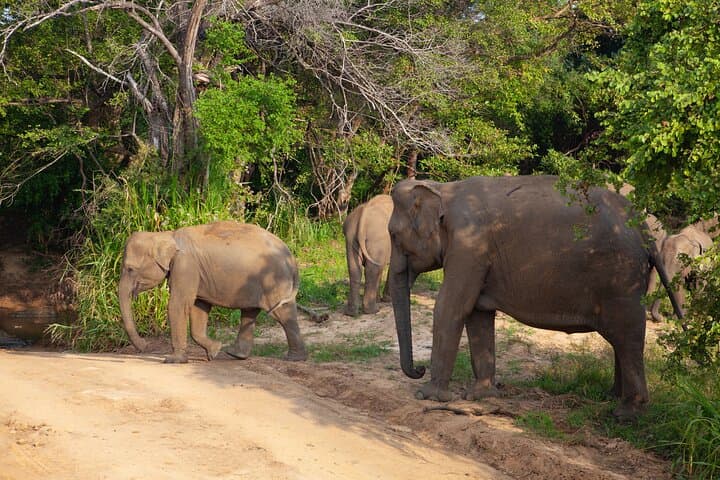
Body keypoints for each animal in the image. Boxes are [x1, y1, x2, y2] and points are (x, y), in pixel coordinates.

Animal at [118, 221, 307, 364]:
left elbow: (178, 305)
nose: (145, 346)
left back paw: (294, 359)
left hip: (274, 281)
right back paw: (235, 354)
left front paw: (173, 360)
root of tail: (291, 256)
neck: (166, 235)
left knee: (282, 314)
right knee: (249, 313)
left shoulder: (186, 266)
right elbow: (199, 308)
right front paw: (214, 351)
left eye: (130, 269)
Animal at [388, 175, 682, 419]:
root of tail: (642, 227)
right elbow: (478, 314)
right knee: (621, 339)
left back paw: (626, 413)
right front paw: (481, 396)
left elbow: (451, 307)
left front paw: (427, 396)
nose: (419, 369)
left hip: (622, 279)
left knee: (627, 336)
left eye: (392, 234)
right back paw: (611, 397)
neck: (444, 189)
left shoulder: (470, 247)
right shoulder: (474, 255)